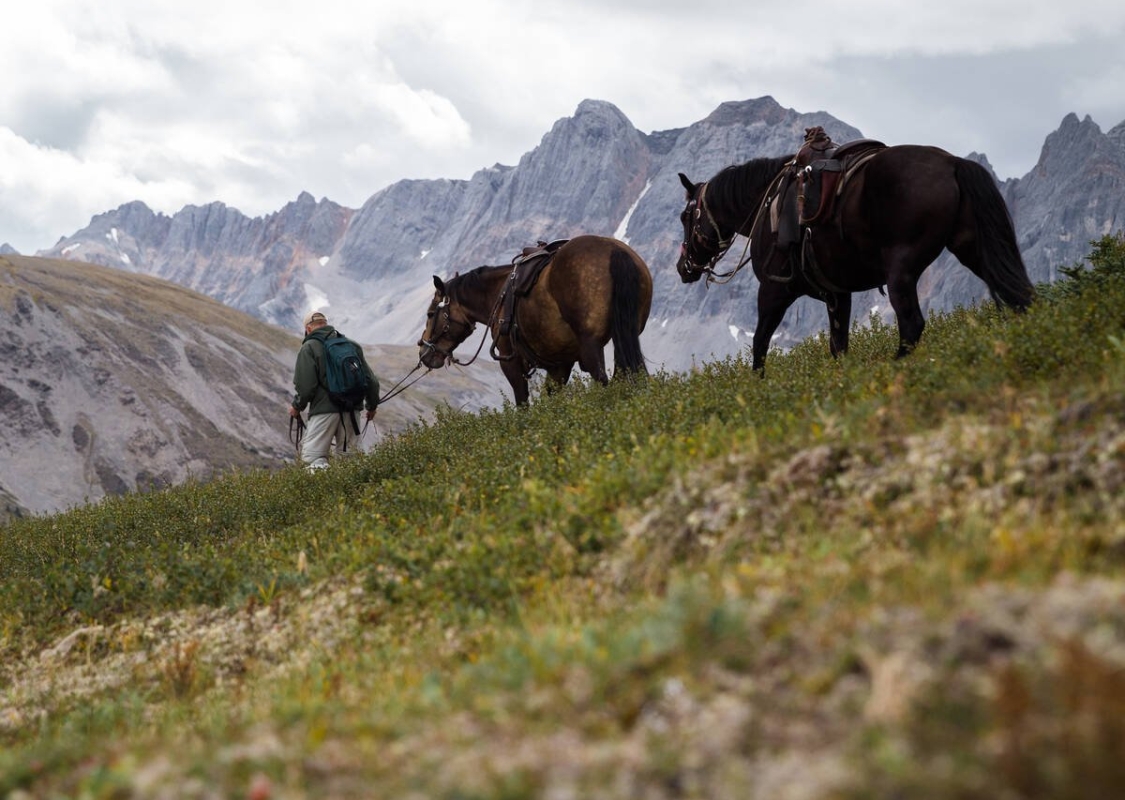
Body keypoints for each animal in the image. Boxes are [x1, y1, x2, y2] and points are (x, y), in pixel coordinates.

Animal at [417, 234, 653, 405]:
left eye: (430, 314)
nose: (423, 352)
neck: (499, 295)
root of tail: (614, 251)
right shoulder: (560, 365)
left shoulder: (510, 362)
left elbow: (523, 403)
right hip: (624, 337)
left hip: (591, 346)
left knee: (604, 382)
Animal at [675, 135, 1036, 372]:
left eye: (684, 216)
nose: (684, 267)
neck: (768, 204)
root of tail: (952, 164)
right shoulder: (837, 295)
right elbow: (838, 346)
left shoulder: (774, 290)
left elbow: (760, 345)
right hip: (972, 250)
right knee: (1017, 293)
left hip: (901, 270)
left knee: (911, 324)